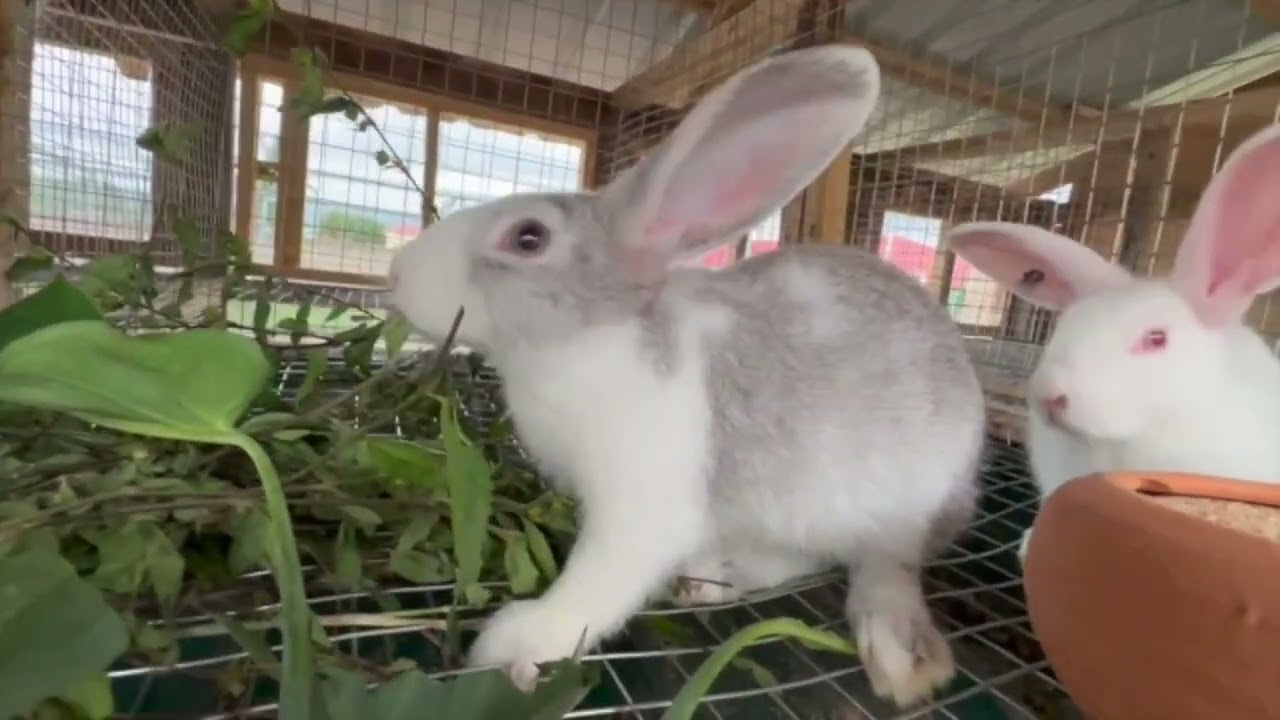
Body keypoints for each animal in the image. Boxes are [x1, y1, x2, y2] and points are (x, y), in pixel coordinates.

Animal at [386, 44, 987, 709]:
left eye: (529, 236)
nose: (397, 272)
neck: (592, 336)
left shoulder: (642, 508)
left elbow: (596, 585)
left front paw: (514, 644)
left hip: (894, 503)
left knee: (874, 564)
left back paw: (896, 649)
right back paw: (710, 578)